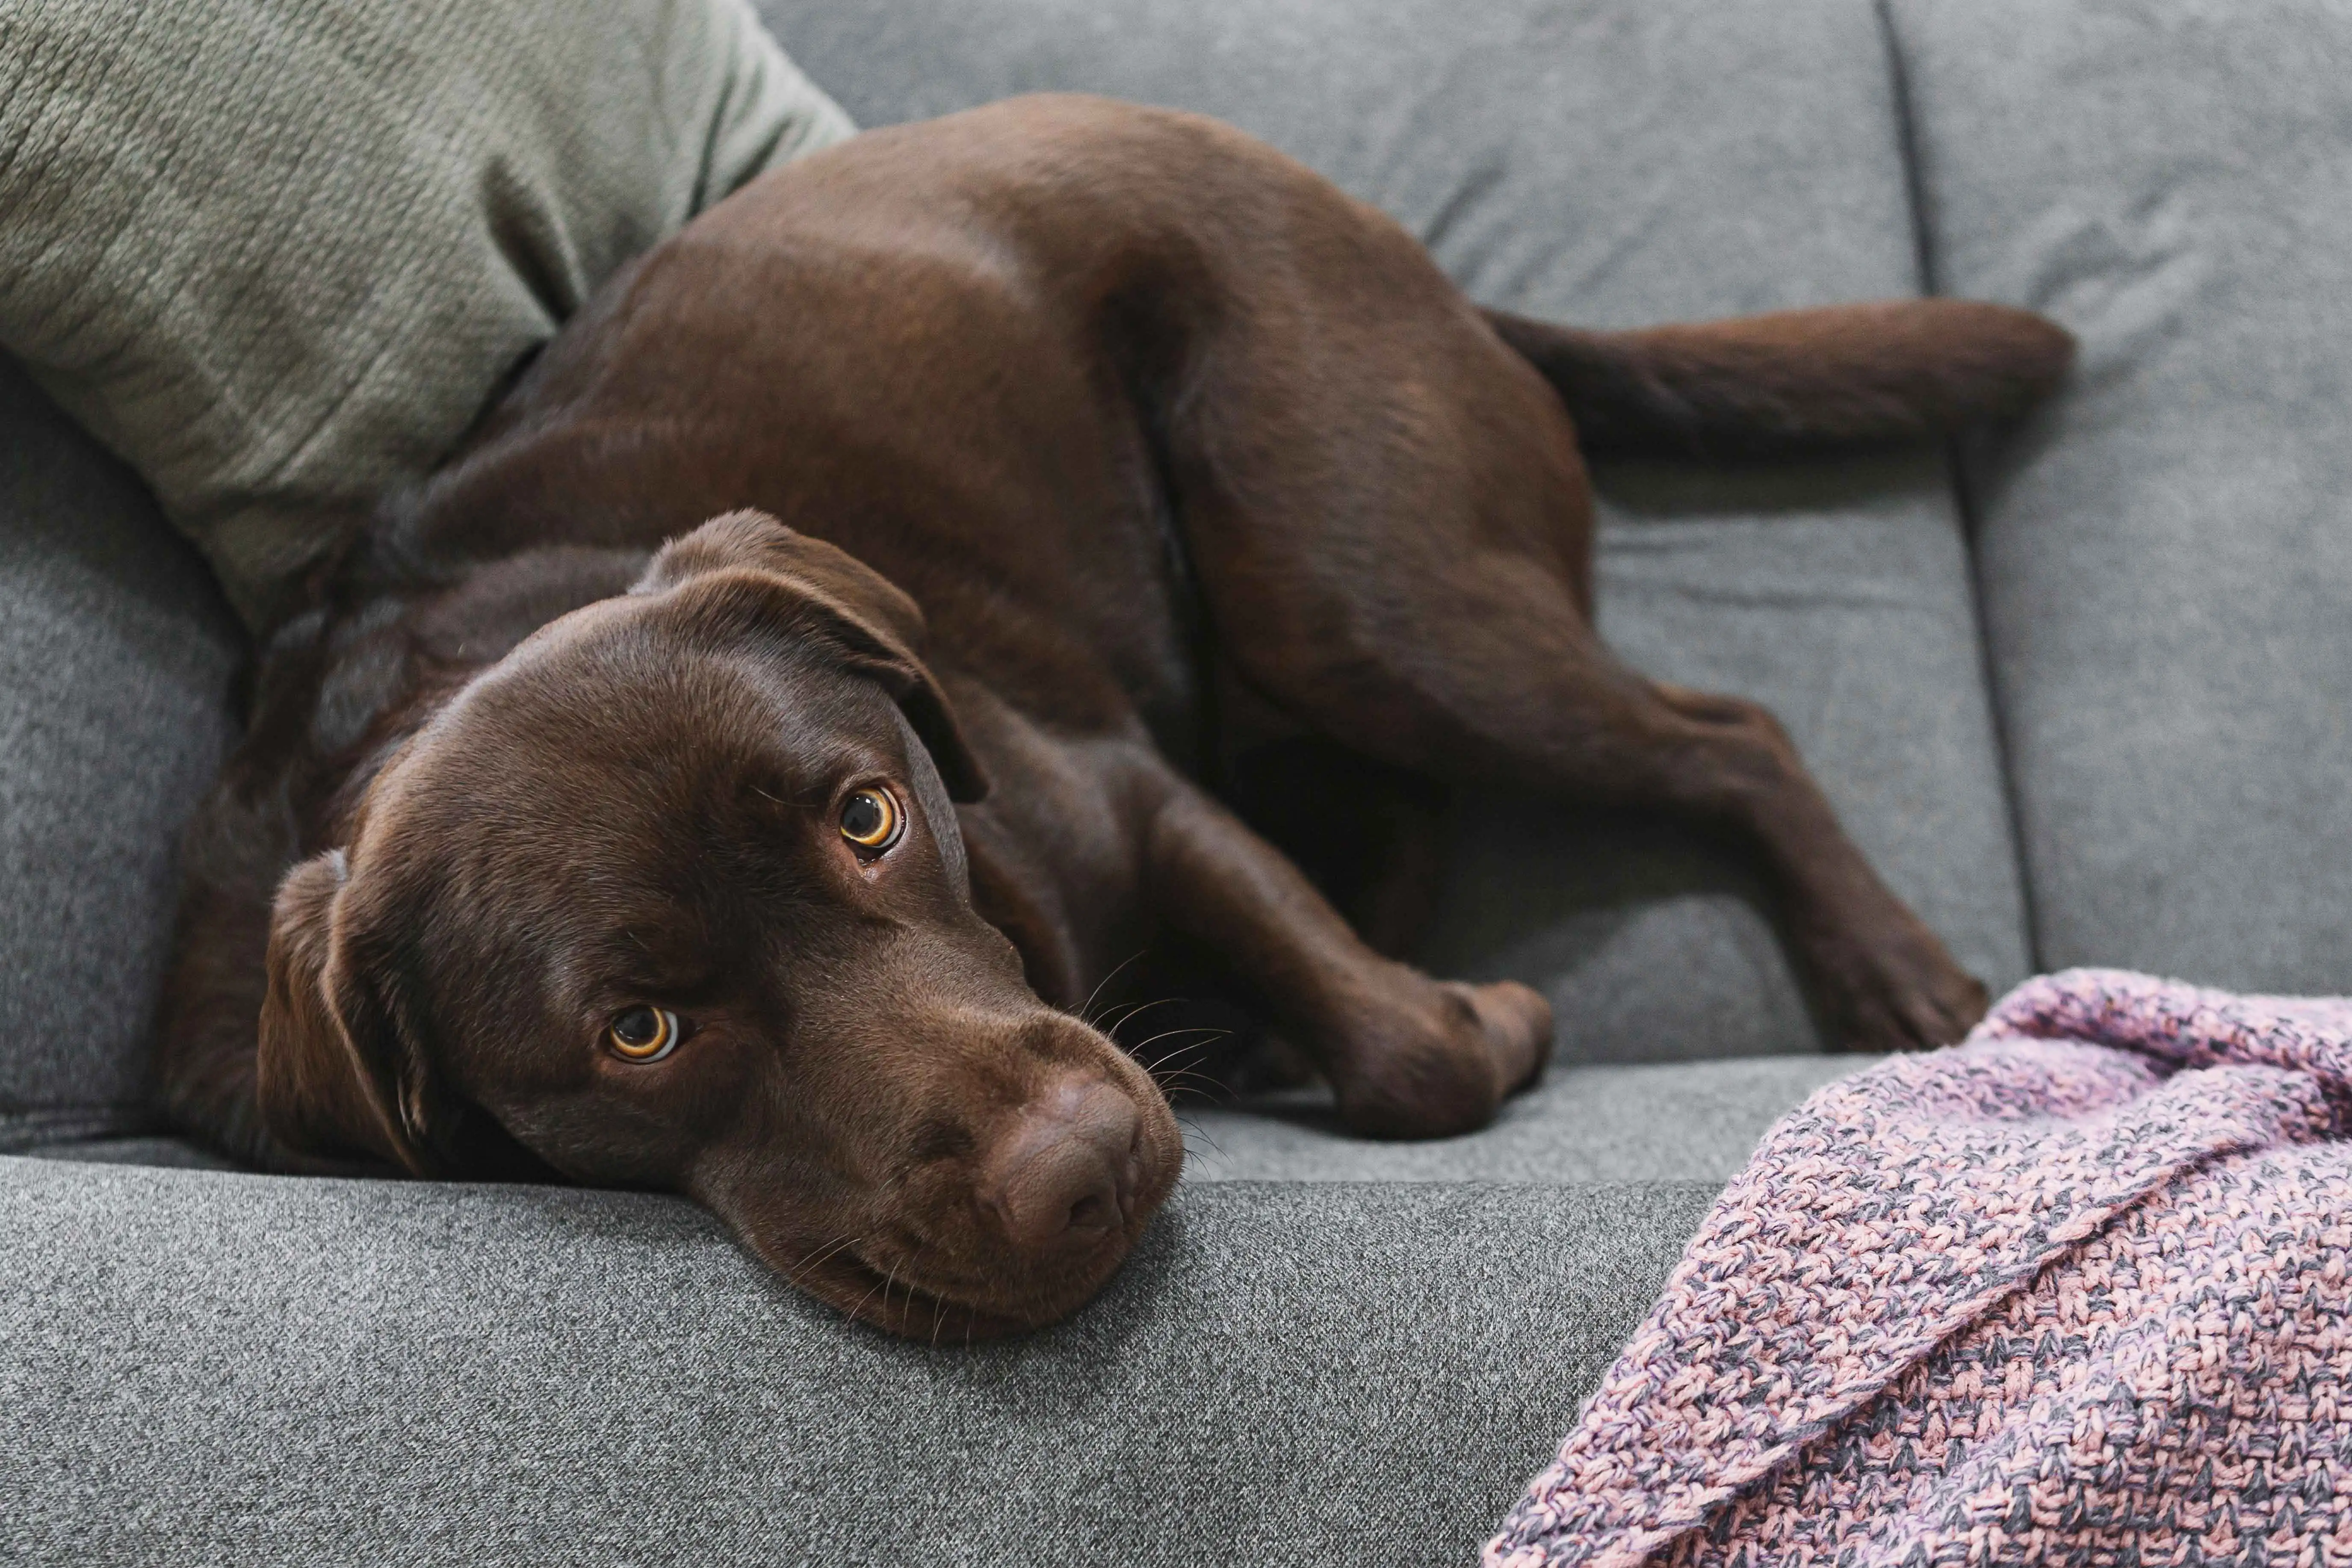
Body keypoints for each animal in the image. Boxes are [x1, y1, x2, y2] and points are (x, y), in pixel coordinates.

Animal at [156, 92, 2070, 1344]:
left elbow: (1413, 1048)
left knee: (1724, 735)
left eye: (870, 816)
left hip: (1354, 590)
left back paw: (1889, 972)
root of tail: (1422, 266)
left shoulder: (1128, 792)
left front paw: (1472, 1023)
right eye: (637, 1030)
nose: (1077, 1169)